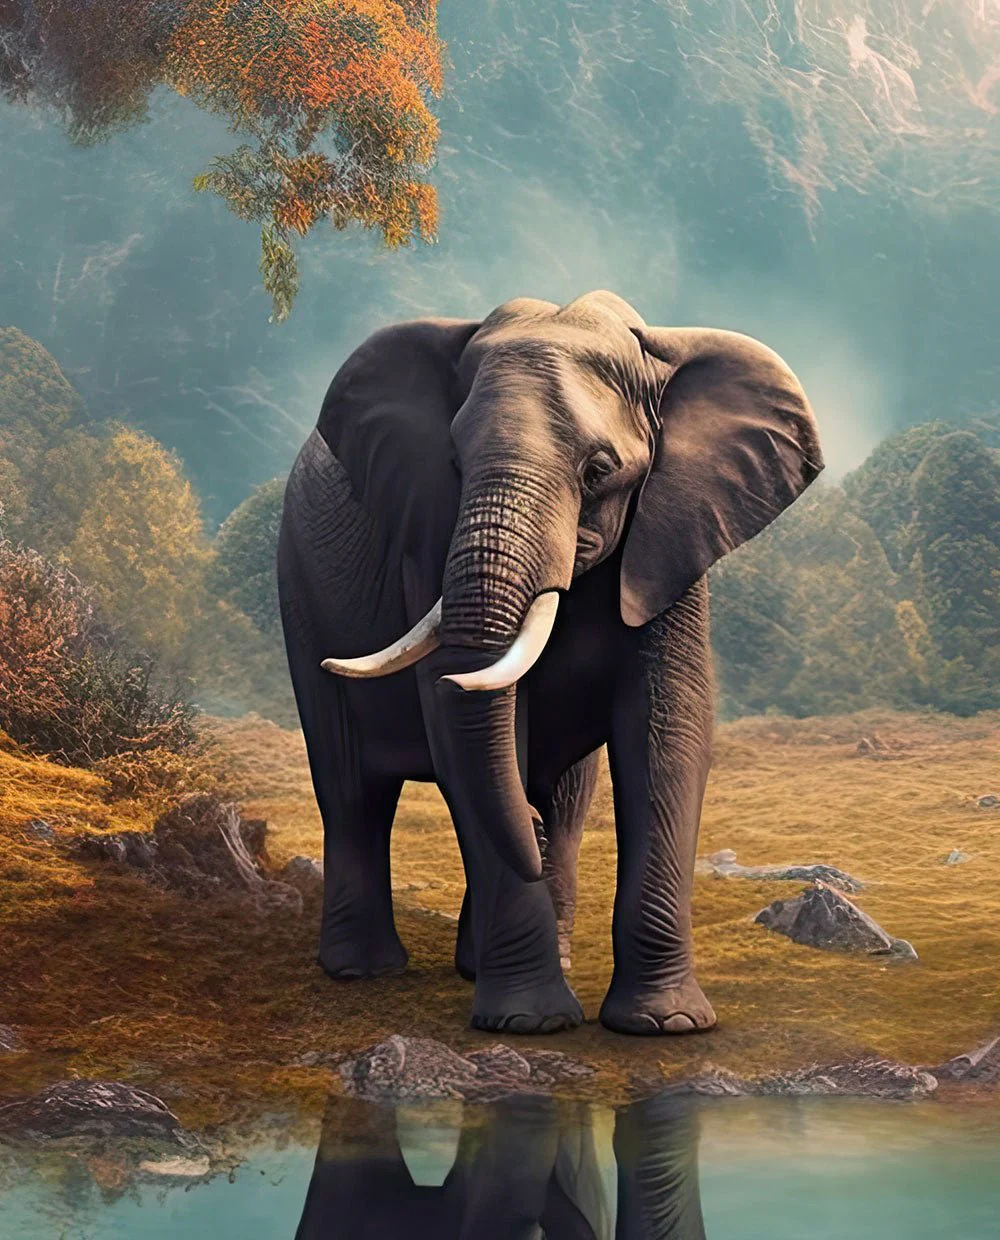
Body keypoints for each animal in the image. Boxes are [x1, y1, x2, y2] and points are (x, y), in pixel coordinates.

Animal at [277, 290, 823, 1036]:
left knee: (559, 802)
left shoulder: (673, 535)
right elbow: (469, 733)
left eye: (599, 471)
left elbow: (670, 736)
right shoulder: (426, 541)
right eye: (453, 464)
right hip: (298, 587)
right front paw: (530, 1023)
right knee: (353, 790)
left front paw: (666, 1025)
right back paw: (363, 971)